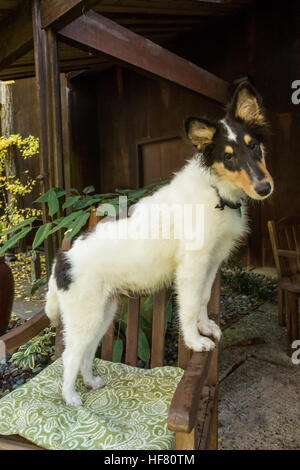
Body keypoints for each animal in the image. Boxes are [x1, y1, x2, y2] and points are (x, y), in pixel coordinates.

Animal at [45, 82, 274, 406]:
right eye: (228, 157)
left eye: (253, 146)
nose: (264, 188)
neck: (216, 192)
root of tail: (62, 260)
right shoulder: (191, 266)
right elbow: (188, 306)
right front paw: (196, 341)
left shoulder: (210, 262)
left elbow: (203, 299)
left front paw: (206, 328)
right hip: (84, 315)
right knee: (70, 355)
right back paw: (71, 397)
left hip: (103, 311)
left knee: (87, 353)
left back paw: (90, 382)